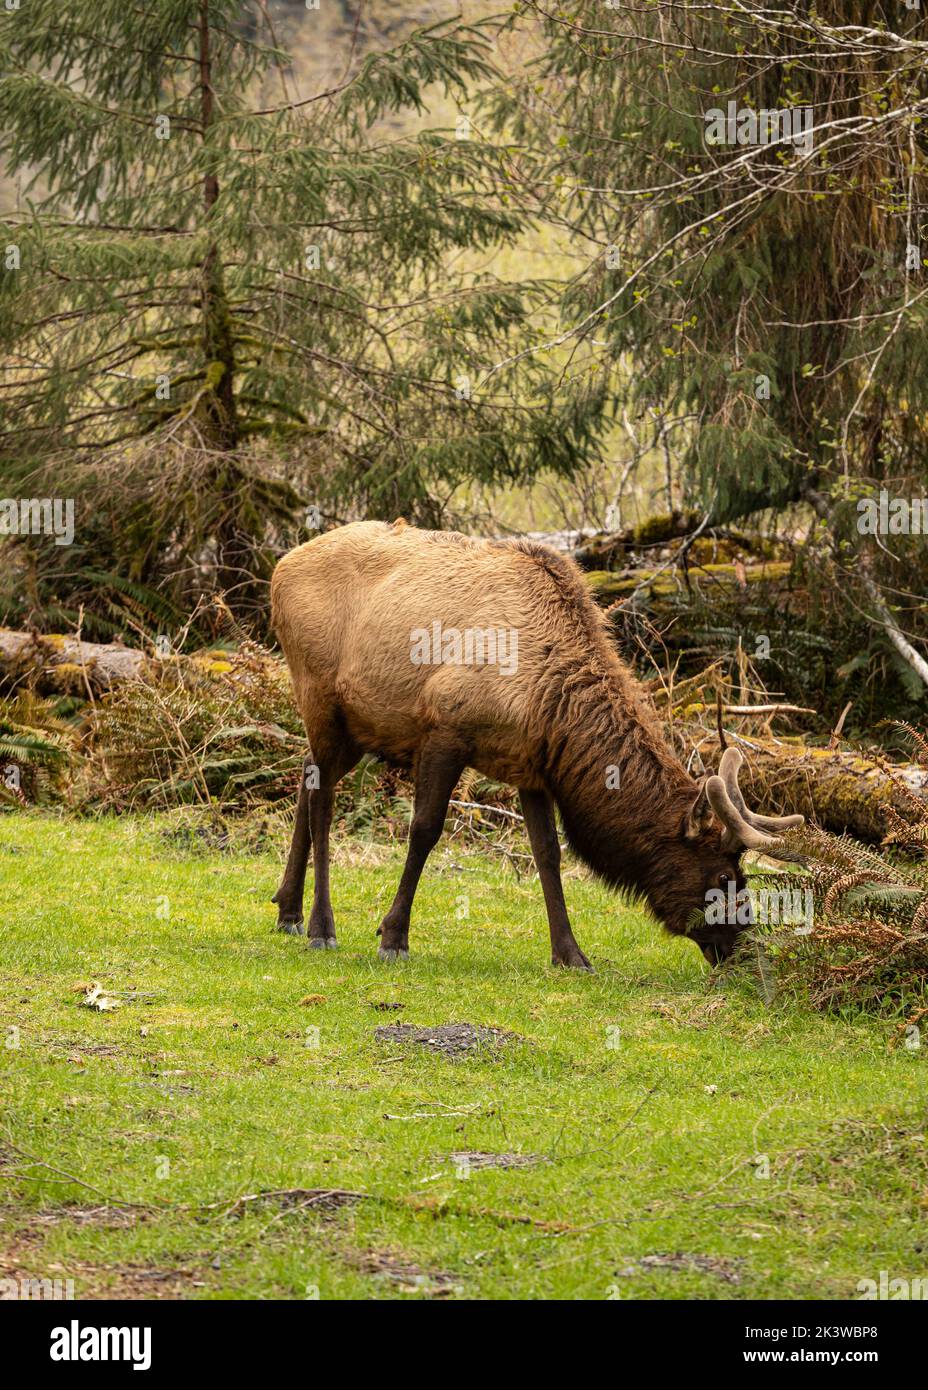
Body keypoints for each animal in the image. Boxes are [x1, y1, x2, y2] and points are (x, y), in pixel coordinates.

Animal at [269, 519, 805, 967]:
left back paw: (287, 910)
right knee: (323, 801)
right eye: (724, 878)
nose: (741, 950)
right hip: (320, 696)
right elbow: (424, 830)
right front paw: (393, 936)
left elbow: (548, 853)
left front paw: (570, 954)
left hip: (360, 726)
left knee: (305, 779)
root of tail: (279, 567)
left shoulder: (533, 764)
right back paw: (320, 926)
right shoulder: (444, 728)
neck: (550, 697)